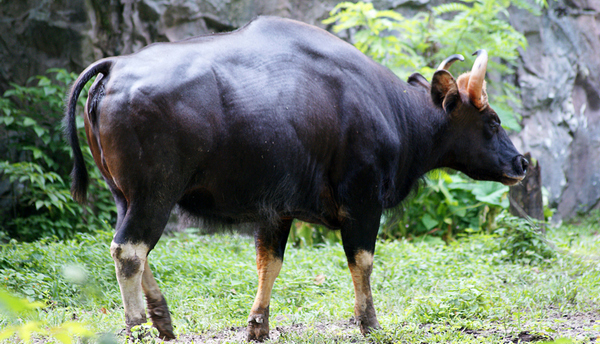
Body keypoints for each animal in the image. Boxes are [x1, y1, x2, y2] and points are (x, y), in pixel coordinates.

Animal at [63, 15, 528, 342]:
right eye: (491, 120)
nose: (521, 162)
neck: (391, 110)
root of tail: (114, 66)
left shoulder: (277, 210)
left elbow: (269, 262)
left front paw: (258, 325)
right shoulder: (361, 201)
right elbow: (362, 261)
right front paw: (369, 322)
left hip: (124, 195)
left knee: (132, 248)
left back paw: (162, 319)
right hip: (155, 193)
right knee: (130, 250)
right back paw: (138, 325)